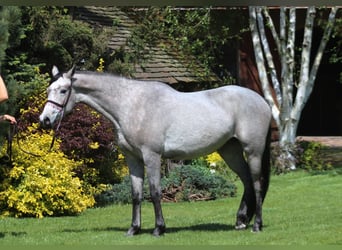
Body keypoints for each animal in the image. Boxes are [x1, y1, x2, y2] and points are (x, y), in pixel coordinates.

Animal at [38, 65, 272, 235]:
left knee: (257, 183)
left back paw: (257, 225)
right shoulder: (132, 158)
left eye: (63, 90)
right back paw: (241, 221)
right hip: (230, 151)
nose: (45, 120)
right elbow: (136, 194)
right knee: (247, 181)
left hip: (253, 151)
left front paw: (159, 228)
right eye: (49, 90)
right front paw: (134, 229)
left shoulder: (151, 156)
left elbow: (155, 191)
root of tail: (263, 102)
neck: (131, 105)